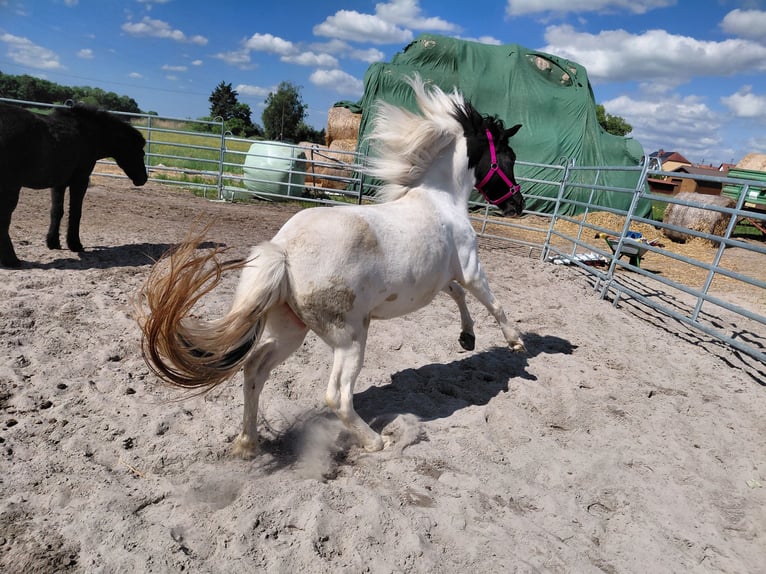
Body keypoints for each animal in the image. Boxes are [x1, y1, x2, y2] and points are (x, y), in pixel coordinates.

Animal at [0, 103, 148, 267]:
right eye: (140, 153)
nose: (143, 179)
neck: (89, 133)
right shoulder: (80, 180)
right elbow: (76, 212)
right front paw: (75, 244)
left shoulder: (59, 183)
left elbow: (57, 211)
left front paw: (53, 242)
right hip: (10, 187)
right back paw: (11, 260)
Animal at [137, 75, 526, 458]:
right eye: (509, 156)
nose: (518, 205)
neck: (440, 199)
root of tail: (283, 250)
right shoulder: (471, 267)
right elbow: (493, 302)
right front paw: (515, 343)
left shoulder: (443, 276)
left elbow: (458, 295)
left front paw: (467, 338)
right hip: (350, 338)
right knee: (336, 395)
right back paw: (375, 441)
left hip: (291, 330)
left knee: (254, 369)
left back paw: (248, 444)